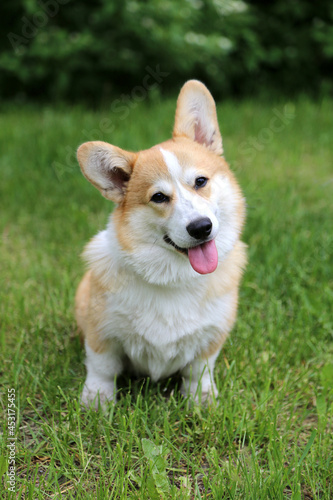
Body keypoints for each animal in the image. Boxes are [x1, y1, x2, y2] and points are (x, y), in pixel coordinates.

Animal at [76, 80, 246, 408]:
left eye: (201, 181)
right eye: (158, 197)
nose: (201, 228)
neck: (174, 278)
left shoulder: (212, 335)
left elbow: (199, 370)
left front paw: (201, 401)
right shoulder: (102, 331)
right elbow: (102, 368)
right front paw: (97, 402)